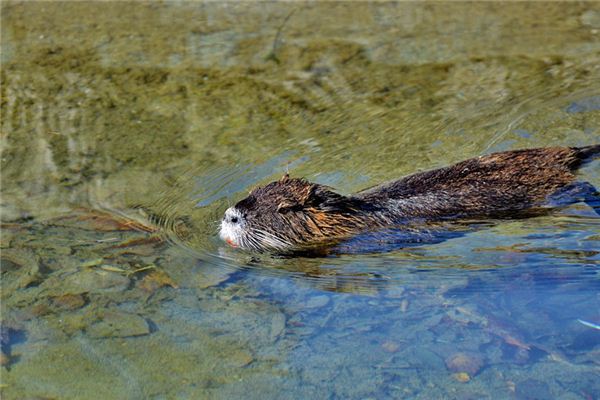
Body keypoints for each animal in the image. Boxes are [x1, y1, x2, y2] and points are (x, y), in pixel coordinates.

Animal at [220, 146, 600, 253]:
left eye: (286, 208)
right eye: (254, 192)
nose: (231, 215)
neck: (357, 213)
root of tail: (571, 153)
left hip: (553, 191)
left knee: (582, 188)